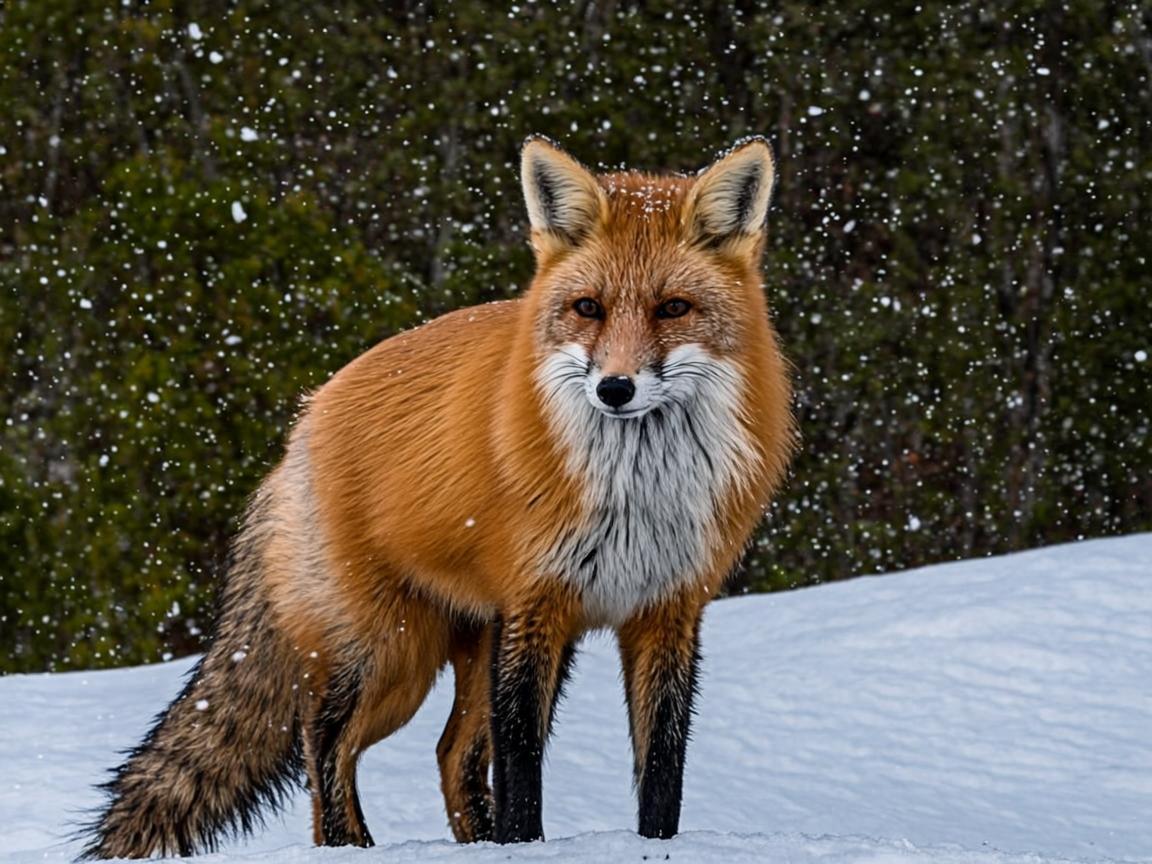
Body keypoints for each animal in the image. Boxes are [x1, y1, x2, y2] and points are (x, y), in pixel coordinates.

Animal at [82, 135, 796, 859]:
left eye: (673, 308)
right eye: (588, 308)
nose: (615, 389)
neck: (637, 495)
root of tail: (303, 422)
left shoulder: (668, 612)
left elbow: (662, 773)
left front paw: (656, 847)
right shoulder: (535, 605)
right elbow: (521, 769)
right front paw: (523, 845)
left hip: (469, 649)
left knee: (450, 757)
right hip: (387, 655)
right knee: (325, 748)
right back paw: (354, 845)